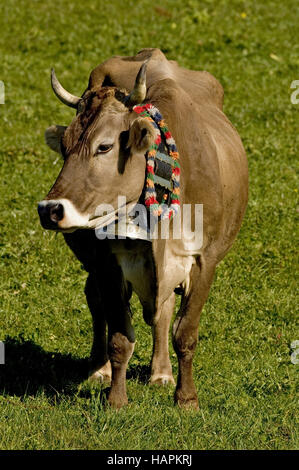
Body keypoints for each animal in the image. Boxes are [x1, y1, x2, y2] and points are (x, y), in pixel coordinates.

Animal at [38, 47, 248, 408]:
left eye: (105, 146)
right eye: (64, 146)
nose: (50, 210)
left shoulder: (204, 260)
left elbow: (184, 333)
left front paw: (186, 399)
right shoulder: (106, 262)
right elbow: (120, 337)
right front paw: (116, 400)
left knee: (162, 312)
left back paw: (161, 373)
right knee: (95, 301)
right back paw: (99, 369)